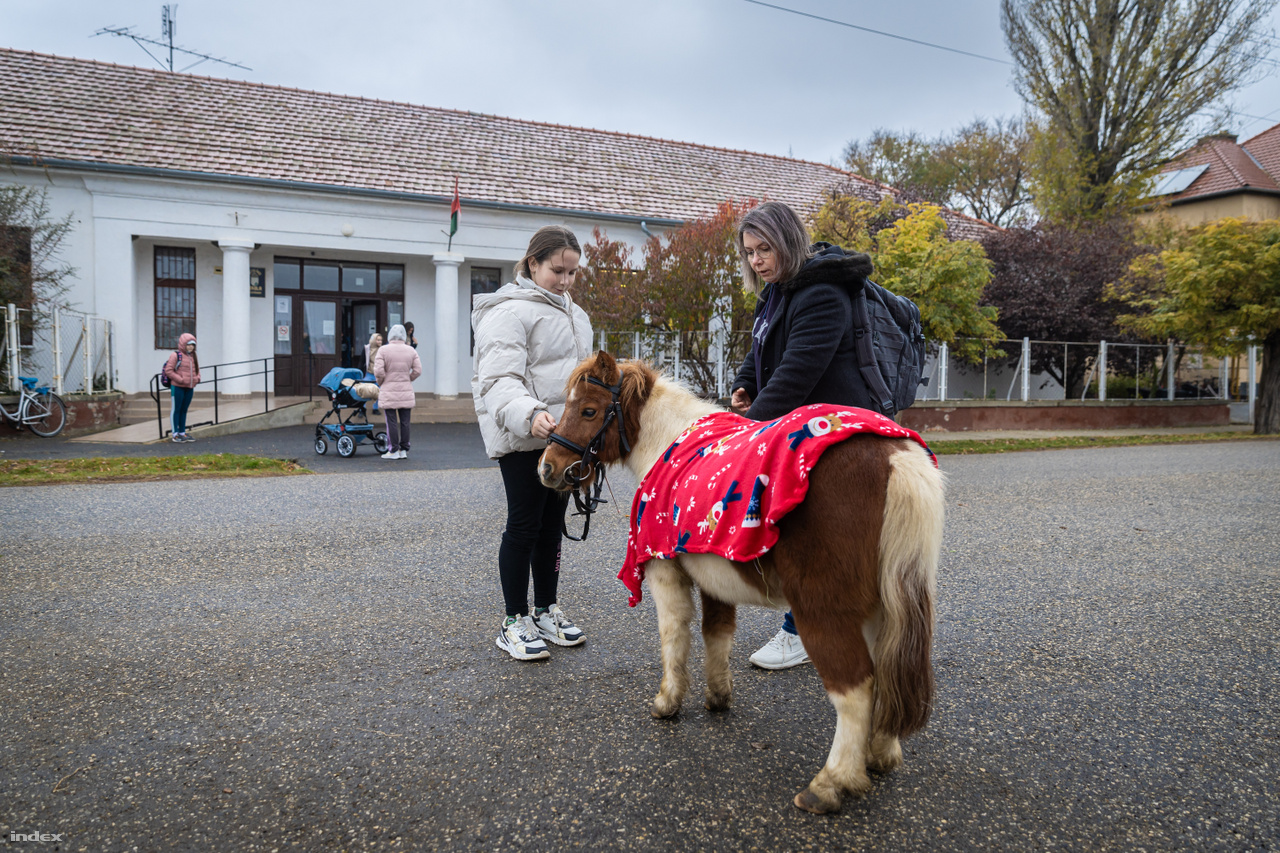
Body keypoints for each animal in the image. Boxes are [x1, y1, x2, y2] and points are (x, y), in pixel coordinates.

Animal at [535, 350, 947, 809]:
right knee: (887, 675)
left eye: (589, 410)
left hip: (823, 612)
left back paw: (831, 782)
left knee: (856, 690)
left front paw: (668, 701)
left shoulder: (664, 571)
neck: (668, 443)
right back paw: (880, 753)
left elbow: (673, 633)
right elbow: (717, 633)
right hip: (881, 609)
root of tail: (894, 457)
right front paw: (717, 696)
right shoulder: (716, 578)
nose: (547, 468)